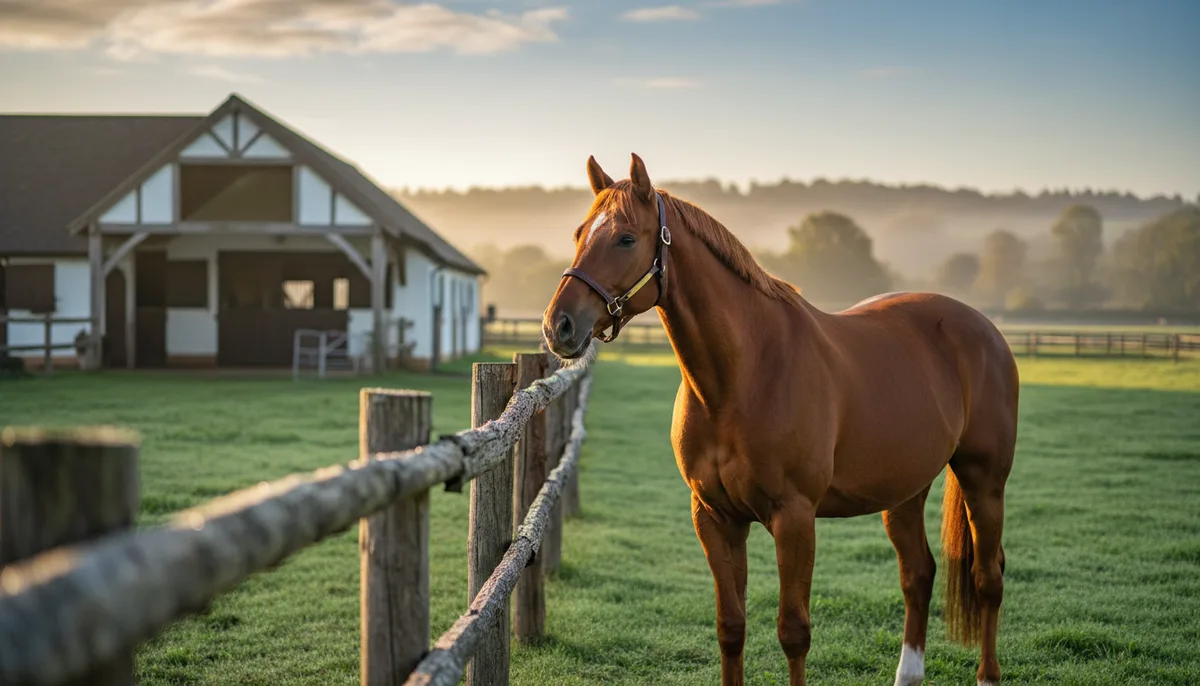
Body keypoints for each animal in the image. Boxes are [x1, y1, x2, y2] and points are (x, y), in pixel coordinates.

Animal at [541, 154, 1019, 686]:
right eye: (580, 233)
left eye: (625, 238)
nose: (558, 326)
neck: (743, 376)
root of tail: (984, 329)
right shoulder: (715, 517)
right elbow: (731, 627)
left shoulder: (794, 518)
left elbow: (794, 632)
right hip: (905, 491)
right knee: (918, 574)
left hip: (983, 480)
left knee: (987, 577)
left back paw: (987, 674)